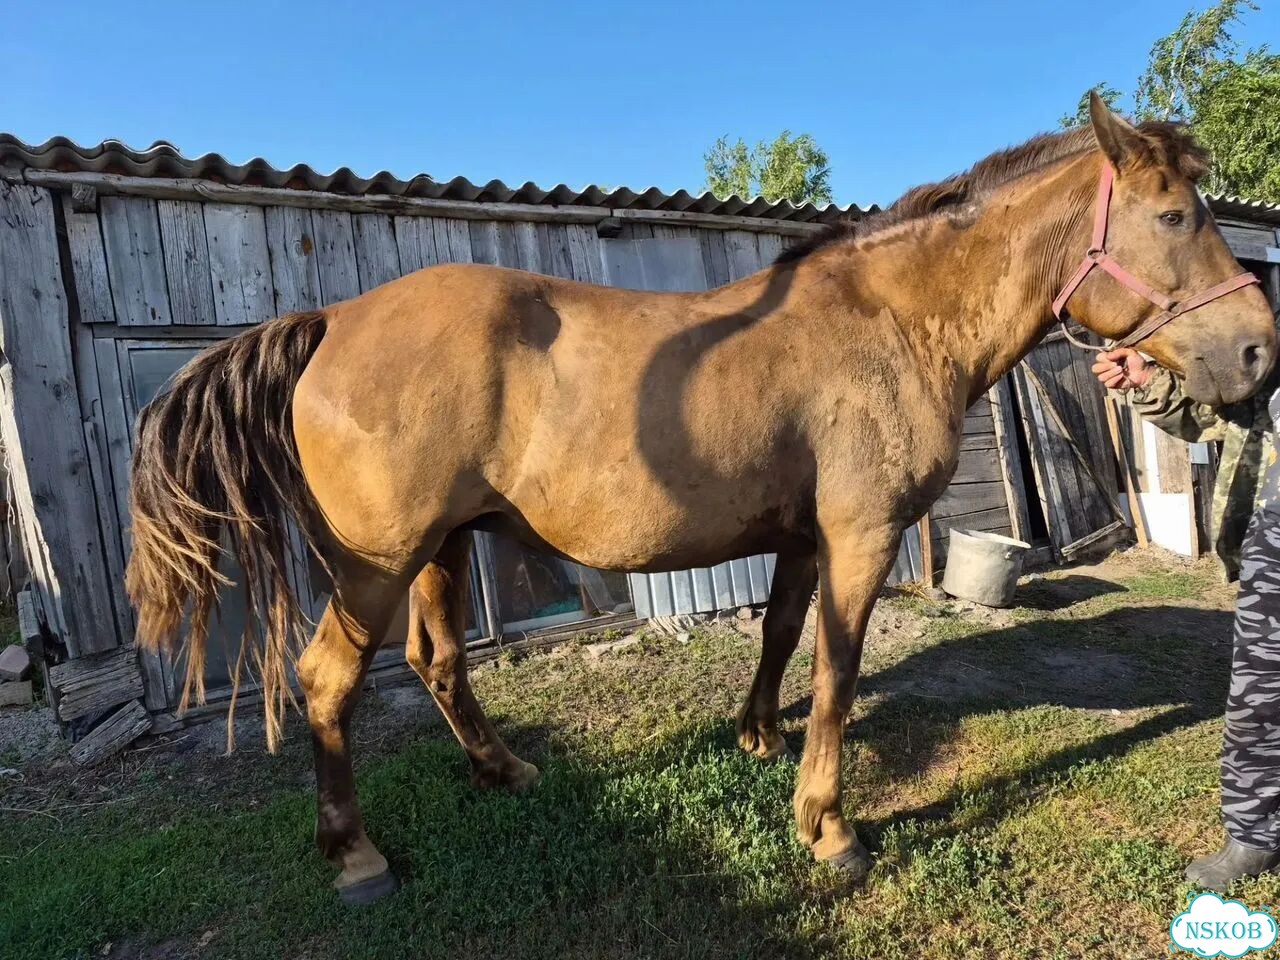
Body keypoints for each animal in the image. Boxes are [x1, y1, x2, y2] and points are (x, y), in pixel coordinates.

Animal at [126, 95, 1276, 904]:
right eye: (1174, 215)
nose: (1258, 352)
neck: (893, 320)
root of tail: (333, 320)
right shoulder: (860, 536)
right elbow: (837, 672)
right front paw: (828, 829)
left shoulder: (804, 537)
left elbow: (780, 636)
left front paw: (757, 739)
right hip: (375, 565)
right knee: (327, 684)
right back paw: (357, 854)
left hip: (443, 551)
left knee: (438, 664)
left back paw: (506, 772)